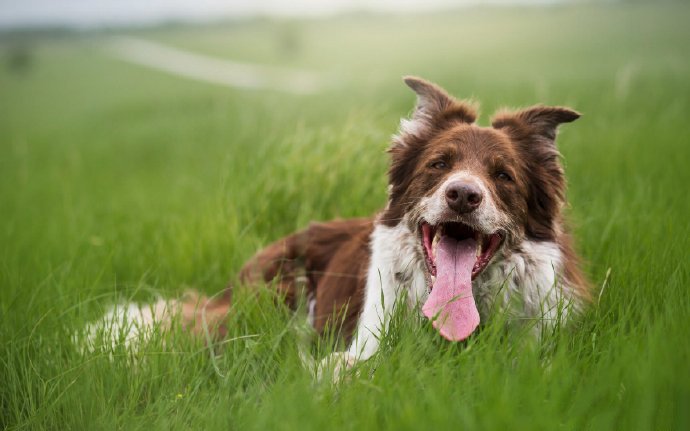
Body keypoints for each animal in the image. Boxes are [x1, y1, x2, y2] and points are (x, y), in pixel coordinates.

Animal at [83, 77, 588, 378]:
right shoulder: (363, 345)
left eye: (503, 176)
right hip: (274, 295)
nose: (463, 195)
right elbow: (342, 370)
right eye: (439, 164)